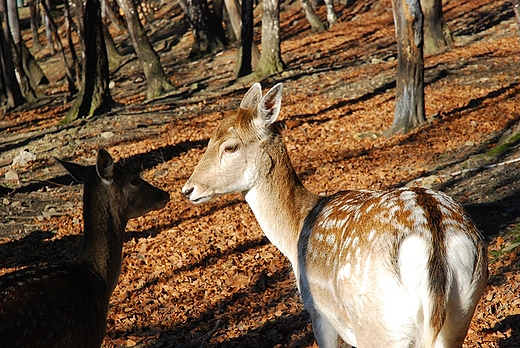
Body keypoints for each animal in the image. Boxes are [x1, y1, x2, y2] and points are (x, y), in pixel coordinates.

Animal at [183, 84, 488, 348]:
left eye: (230, 146)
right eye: (209, 140)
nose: (188, 189)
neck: (294, 231)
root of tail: (431, 229)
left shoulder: (319, 314)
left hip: (379, 322)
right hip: (462, 307)